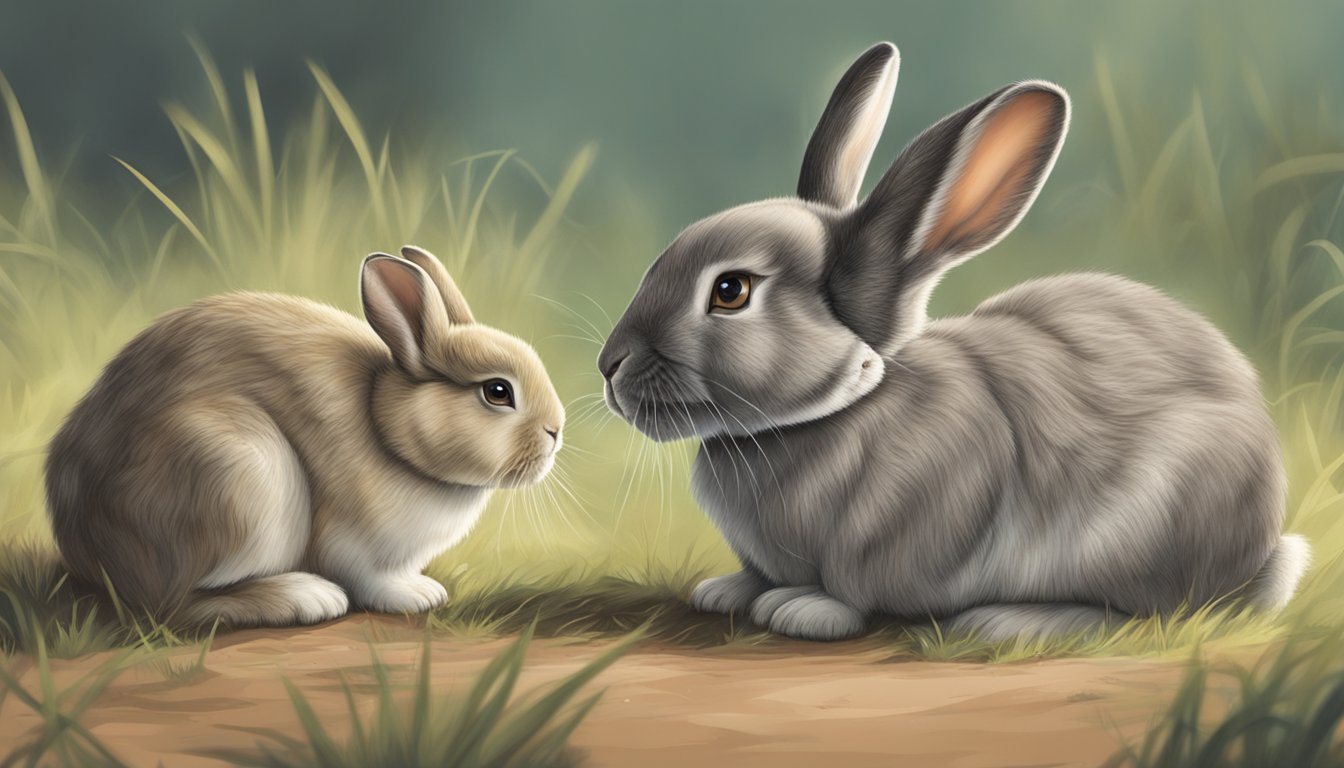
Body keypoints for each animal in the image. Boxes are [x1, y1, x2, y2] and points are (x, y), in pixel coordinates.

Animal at [46, 245, 564, 628]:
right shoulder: (352, 544)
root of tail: (84, 542)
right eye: (497, 392)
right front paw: (415, 596)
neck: (389, 430)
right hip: (238, 471)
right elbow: (372, 580)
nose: (556, 431)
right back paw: (307, 597)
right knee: (177, 605)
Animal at [596, 42, 1309, 642]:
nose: (609, 365)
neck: (839, 409)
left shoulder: (906, 528)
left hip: (1146, 527)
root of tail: (1263, 548)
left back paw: (1010, 621)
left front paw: (803, 610)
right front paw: (727, 591)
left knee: (1148, 610)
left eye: (731, 291)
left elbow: (854, 590)